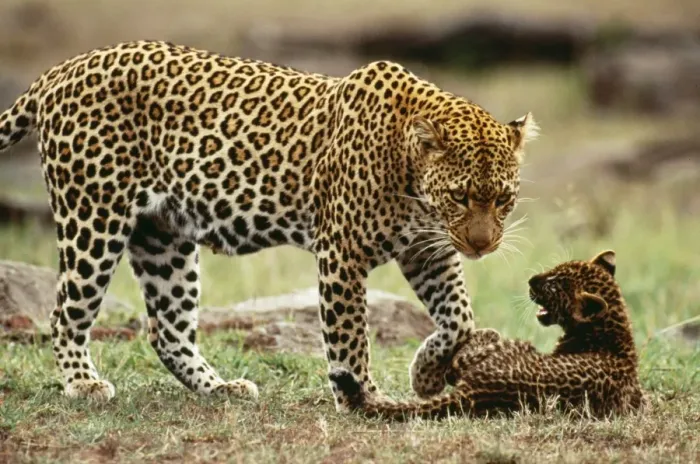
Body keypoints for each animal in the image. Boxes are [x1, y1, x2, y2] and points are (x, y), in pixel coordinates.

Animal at [0, 40, 538, 410]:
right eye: (460, 196)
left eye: (503, 200)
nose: (482, 245)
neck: (412, 180)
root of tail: (62, 68)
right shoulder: (342, 253)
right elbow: (350, 338)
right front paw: (363, 400)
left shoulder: (428, 250)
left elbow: (460, 318)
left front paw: (425, 373)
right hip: (93, 217)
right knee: (66, 313)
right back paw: (81, 382)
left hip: (163, 237)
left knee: (166, 329)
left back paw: (220, 387)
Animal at [330, 250, 647, 419]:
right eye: (554, 270)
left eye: (555, 285)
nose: (532, 280)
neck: (613, 331)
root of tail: (478, 390)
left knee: (464, 359)